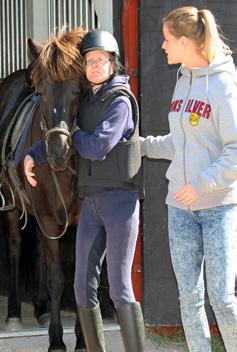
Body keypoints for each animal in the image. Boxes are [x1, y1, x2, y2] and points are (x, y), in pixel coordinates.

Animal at [0, 26, 87, 350]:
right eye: (41, 93)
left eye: (78, 91)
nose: (58, 150)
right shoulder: (49, 217)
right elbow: (57, 279)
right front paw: (57, 340)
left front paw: (82, 340)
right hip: (13, 206)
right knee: (15, 247)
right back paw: (14, 313)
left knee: (37, 247)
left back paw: (40, 308)